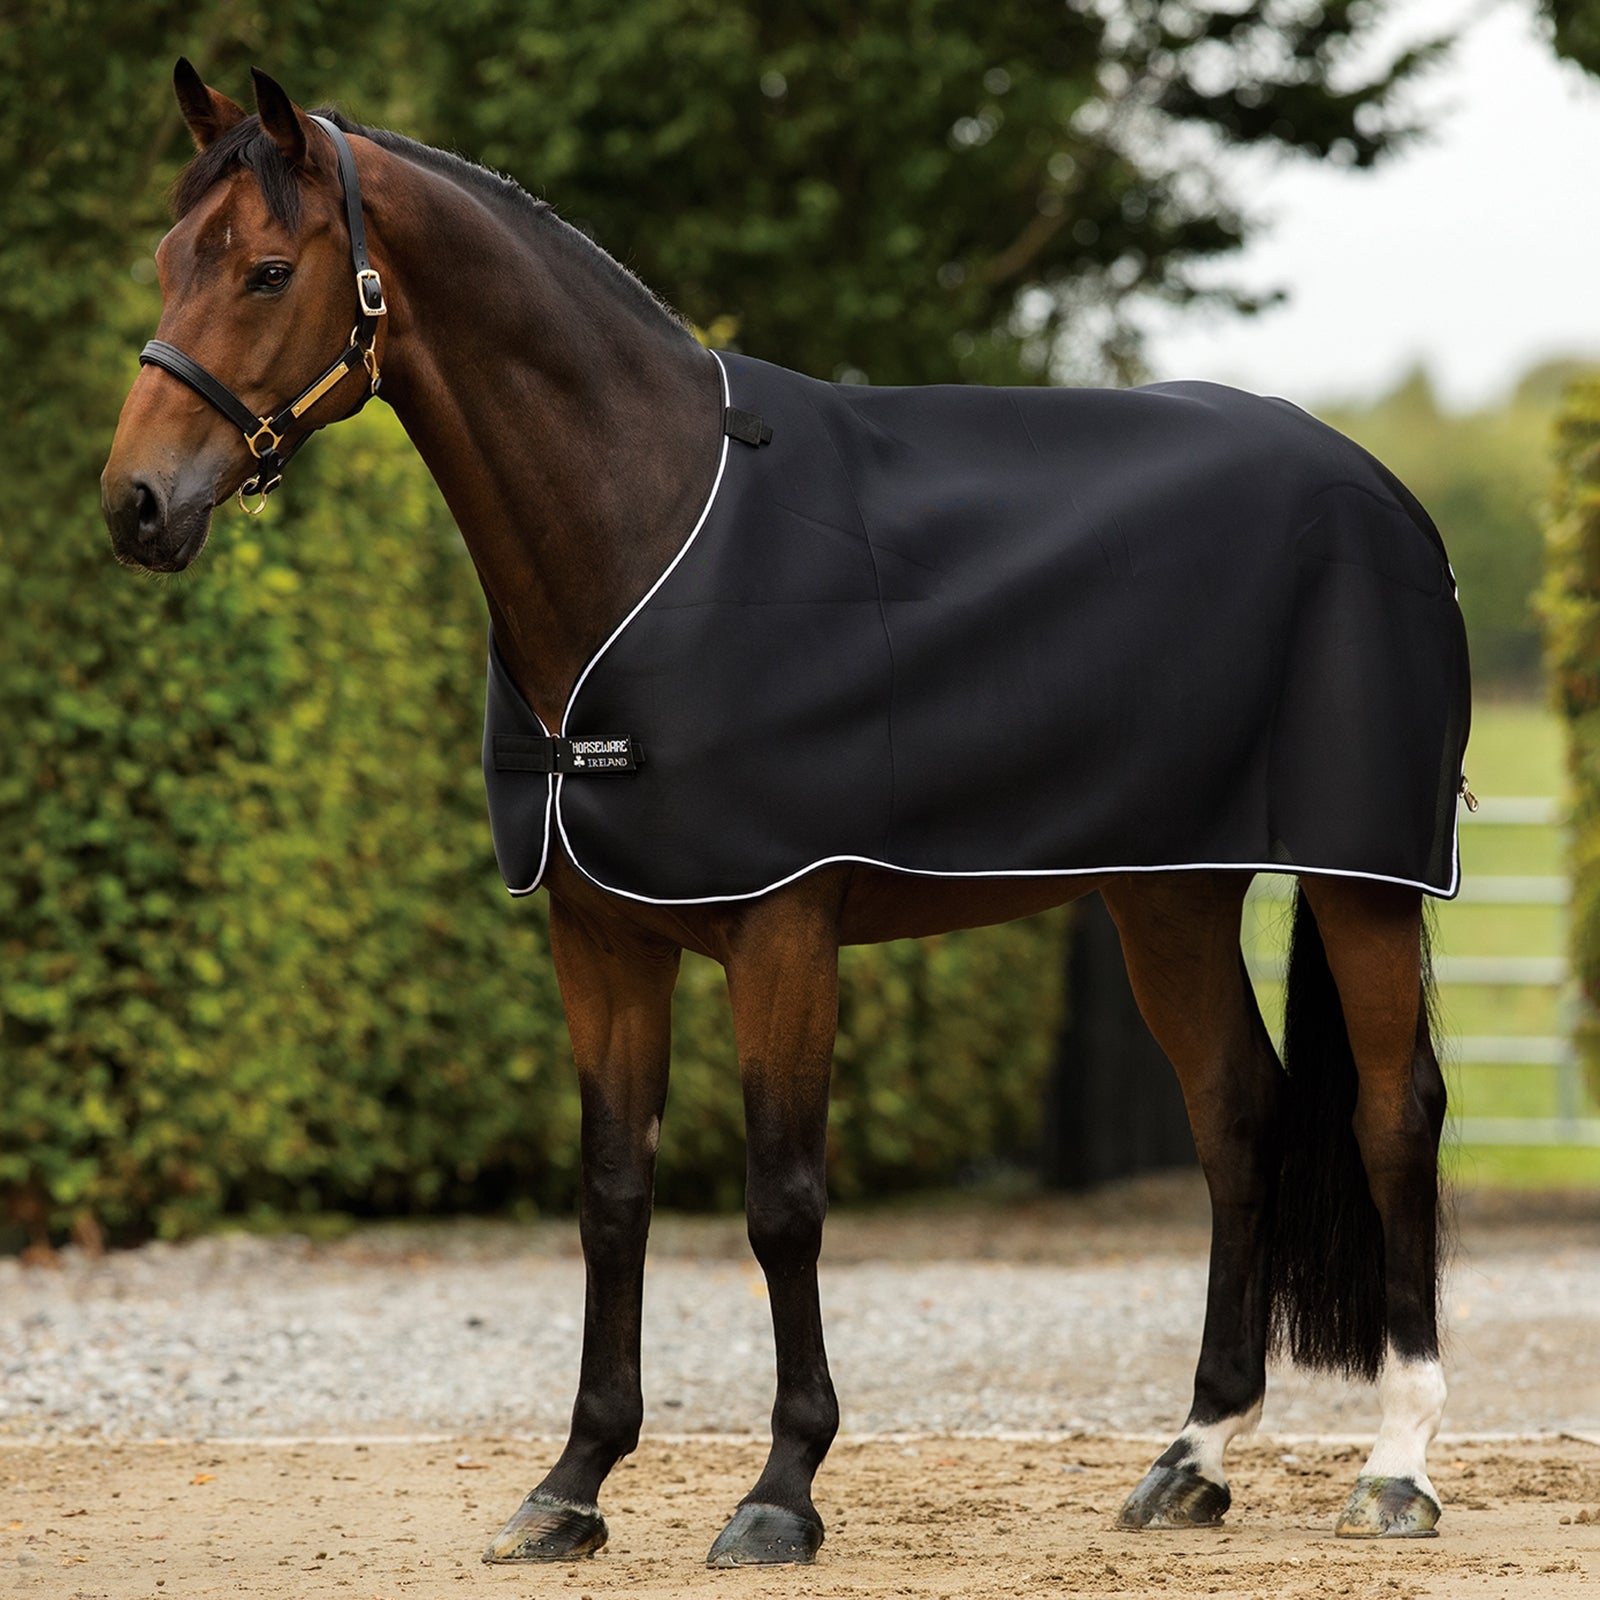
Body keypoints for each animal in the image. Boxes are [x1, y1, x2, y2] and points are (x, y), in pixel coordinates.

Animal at [101, 61, 1468, 1567]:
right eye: (168, 260)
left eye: (268, 269)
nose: (136, 505)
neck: (646, 526)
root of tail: (1382, 491)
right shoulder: (601, 942)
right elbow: (613, 1198)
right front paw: (571, 1484)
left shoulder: (784, 932)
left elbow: (783, 1200)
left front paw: (781, 1489)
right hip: (1166, 890)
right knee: (1237, 1114)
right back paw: (1192, 1458)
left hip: (1359, 880)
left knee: (1394, 1113)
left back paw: (1396, 1467)